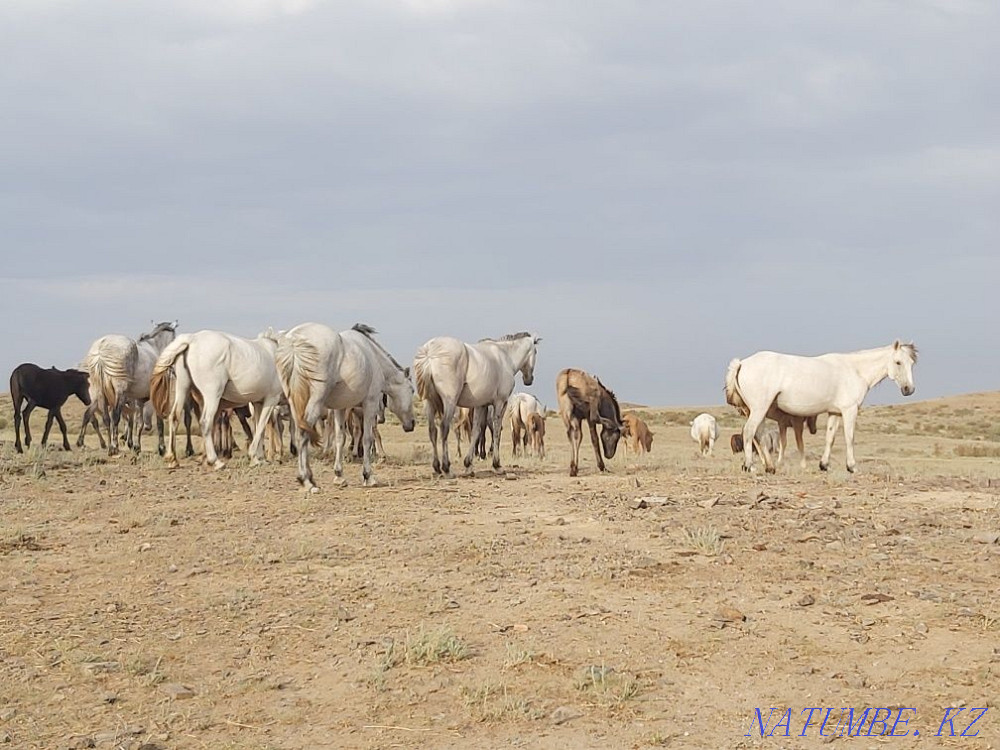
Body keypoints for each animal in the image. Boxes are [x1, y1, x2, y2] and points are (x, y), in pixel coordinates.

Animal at [80, 321, 177, 455]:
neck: (154, 349)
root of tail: (101, 347)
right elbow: (158, 423)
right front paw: (161, 448)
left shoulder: (138, 400)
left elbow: (138, 423)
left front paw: (136, 446)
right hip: (119, 393)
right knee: (115, 416)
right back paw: (114, 446)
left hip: (101, 394)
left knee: (106, 418)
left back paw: (109, 446)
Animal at [149, 329, 284, 470]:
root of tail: (192, 339)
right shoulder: (271, 399)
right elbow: (262, 425)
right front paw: (255, 458)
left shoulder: (258, 402)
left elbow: (259, 428)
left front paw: (260, 458)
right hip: (212, 395)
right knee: (205, 422)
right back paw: (216, 461)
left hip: (183, 387)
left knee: (174, 417)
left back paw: (173, 459)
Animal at [276, 323, 416, 491]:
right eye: (412, 390)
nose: (411, 424)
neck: (374, 357)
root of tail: (295, 341)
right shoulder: (370, 404)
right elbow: (367, 439)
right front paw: (368, 476)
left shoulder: (340, 408)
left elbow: (339, 439)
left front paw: (339, 475)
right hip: (314, 401)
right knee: (303, 434)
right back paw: (306, 480)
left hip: (295, 404)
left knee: (299, 433)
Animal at [413, 332, 540, 476]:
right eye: (535, 351)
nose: (529, 379)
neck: (505, 356)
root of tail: (429, 353)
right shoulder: (500, 403)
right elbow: (497, 431)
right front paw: (497, 465)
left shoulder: (481, 405)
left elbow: (476, 431)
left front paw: (468, 464)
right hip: (449, 402)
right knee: (444, 428)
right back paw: (446, 468)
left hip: (429, 403)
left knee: (432, 430)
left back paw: (437, 467)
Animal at [725, 340, 917, 473]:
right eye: (898, 362)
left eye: (911, 363)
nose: (909, 389)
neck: (855, 370)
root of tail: (741, 363)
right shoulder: (850, 411)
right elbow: (849, 437)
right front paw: (852, 467)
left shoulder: (834, 413)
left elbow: (830, 438)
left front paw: (824, 465)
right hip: (759, 409)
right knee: (749, 432)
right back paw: (750, 466)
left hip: (755, 411)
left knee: (758, 435)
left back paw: (770, 467)